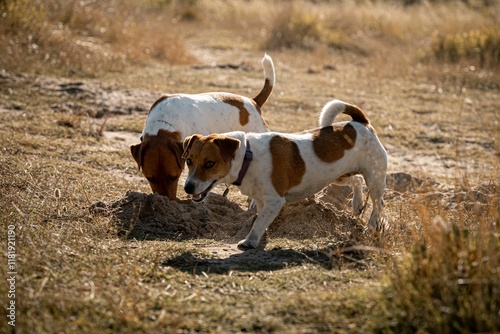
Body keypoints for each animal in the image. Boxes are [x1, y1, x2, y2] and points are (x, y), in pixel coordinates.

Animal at [182, 100, 388, 249]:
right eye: (189, 161)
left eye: (209, 164)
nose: (187, 187)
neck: (248, 156)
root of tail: (359, 123)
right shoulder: (262, 200)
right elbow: (260, 218)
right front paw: (259, 236)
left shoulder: (275, 201)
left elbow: (259, 221)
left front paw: (250, 241)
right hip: (338, 176)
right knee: (357, 180)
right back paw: (357, 204)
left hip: (375, 179)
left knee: (378, 204)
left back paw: (371, 226)